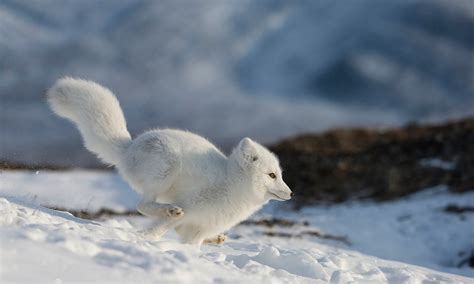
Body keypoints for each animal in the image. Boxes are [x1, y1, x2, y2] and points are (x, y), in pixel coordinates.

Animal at [48, 77, 292, 244]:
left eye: (280, 175)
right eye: (272, 175)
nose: (291, 193)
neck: (232, 184)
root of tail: (129, 147)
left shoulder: (198, 228)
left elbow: (191, 241)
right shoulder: (191, 206)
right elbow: (161, 228)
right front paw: (146, 239)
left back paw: (216, 238)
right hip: (167, 168)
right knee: (143, 205)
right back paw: (170, 211)